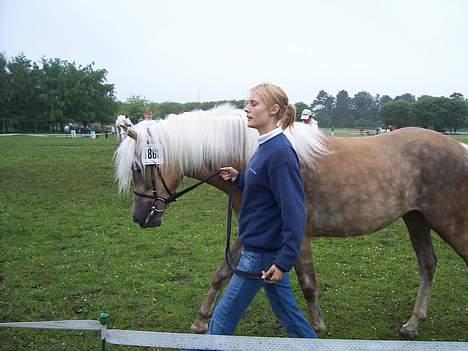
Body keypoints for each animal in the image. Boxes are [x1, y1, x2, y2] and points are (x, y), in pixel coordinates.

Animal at [114, 106, 468, 340]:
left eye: (138, 167)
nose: (140, 217)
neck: (255, 157)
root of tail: (460, 148)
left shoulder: (298, 236)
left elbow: (308, 284)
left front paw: (316, 327)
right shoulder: (251, 232)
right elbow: (222, 273)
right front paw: (201, 320)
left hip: (449, 222)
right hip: (416, 219)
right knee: (428, 265)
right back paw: (412, 324)